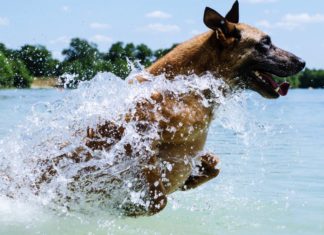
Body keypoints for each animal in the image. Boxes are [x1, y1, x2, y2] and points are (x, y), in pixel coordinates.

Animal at [34, 0, 306, 217]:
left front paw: (190, 181)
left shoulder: (189, 150)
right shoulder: (138, 141)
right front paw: (130, 206)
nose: (303, 62)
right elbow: (157, 196)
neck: (189, 88)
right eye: (265, 43)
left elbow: (214, 165)